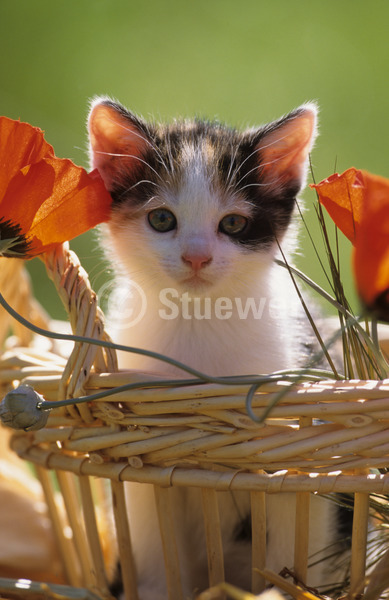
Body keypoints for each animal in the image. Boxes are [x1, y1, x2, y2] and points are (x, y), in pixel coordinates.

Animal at [88, 101, 340, 596]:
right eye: (161, 219)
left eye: (234, 223)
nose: (197, 257)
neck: (199, 317)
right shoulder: (144, 471)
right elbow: (157, 554)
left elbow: (293, 543)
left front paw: (285, 586)